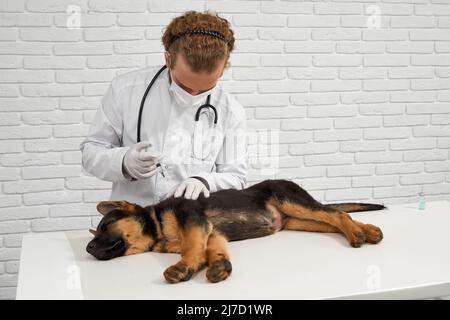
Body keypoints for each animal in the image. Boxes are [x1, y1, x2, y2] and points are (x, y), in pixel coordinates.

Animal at [87, 179, 384, 284]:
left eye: (104, 227)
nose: (88, 249)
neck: (157, 224)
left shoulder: (192, 219)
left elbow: (192, 246)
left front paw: (184, 266)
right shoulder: (212, 232)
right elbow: (212, 249)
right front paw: (219, 265)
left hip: (292, 201)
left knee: (336, 214)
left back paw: (357, 234)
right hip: (298, 220)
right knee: (333, 219)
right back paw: (369, 231)